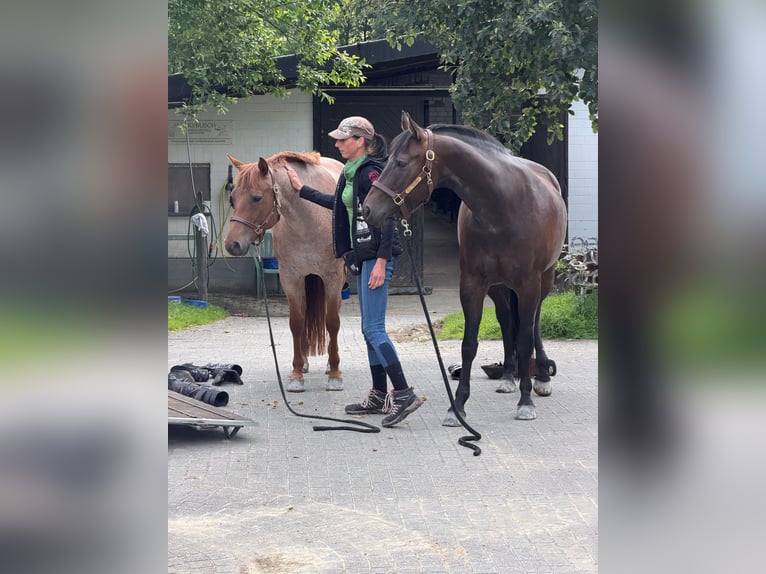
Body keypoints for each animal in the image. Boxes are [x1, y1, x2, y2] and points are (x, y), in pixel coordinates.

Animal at [224, 151, 346, 393]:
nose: (232, 244)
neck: (310, 219)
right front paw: (297, 373)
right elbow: (297, 323)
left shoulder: (333, 279)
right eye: (232, 198)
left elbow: (332, 322)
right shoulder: (291, 279)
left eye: (256, 198)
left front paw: (335, 373)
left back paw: (329, 364)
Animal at [363, 111, 567, 423]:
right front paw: (456, 406)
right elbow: (469, 344)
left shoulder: (528, 284)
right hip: (498, 287)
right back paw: (508, 376)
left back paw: (541, 377)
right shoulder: (472, 283)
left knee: (533, 324)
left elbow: (524, 339)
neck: (502, 206)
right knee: (506, 321)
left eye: (401, 163)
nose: (367, 209)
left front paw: (526, 402)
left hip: (544, 279)